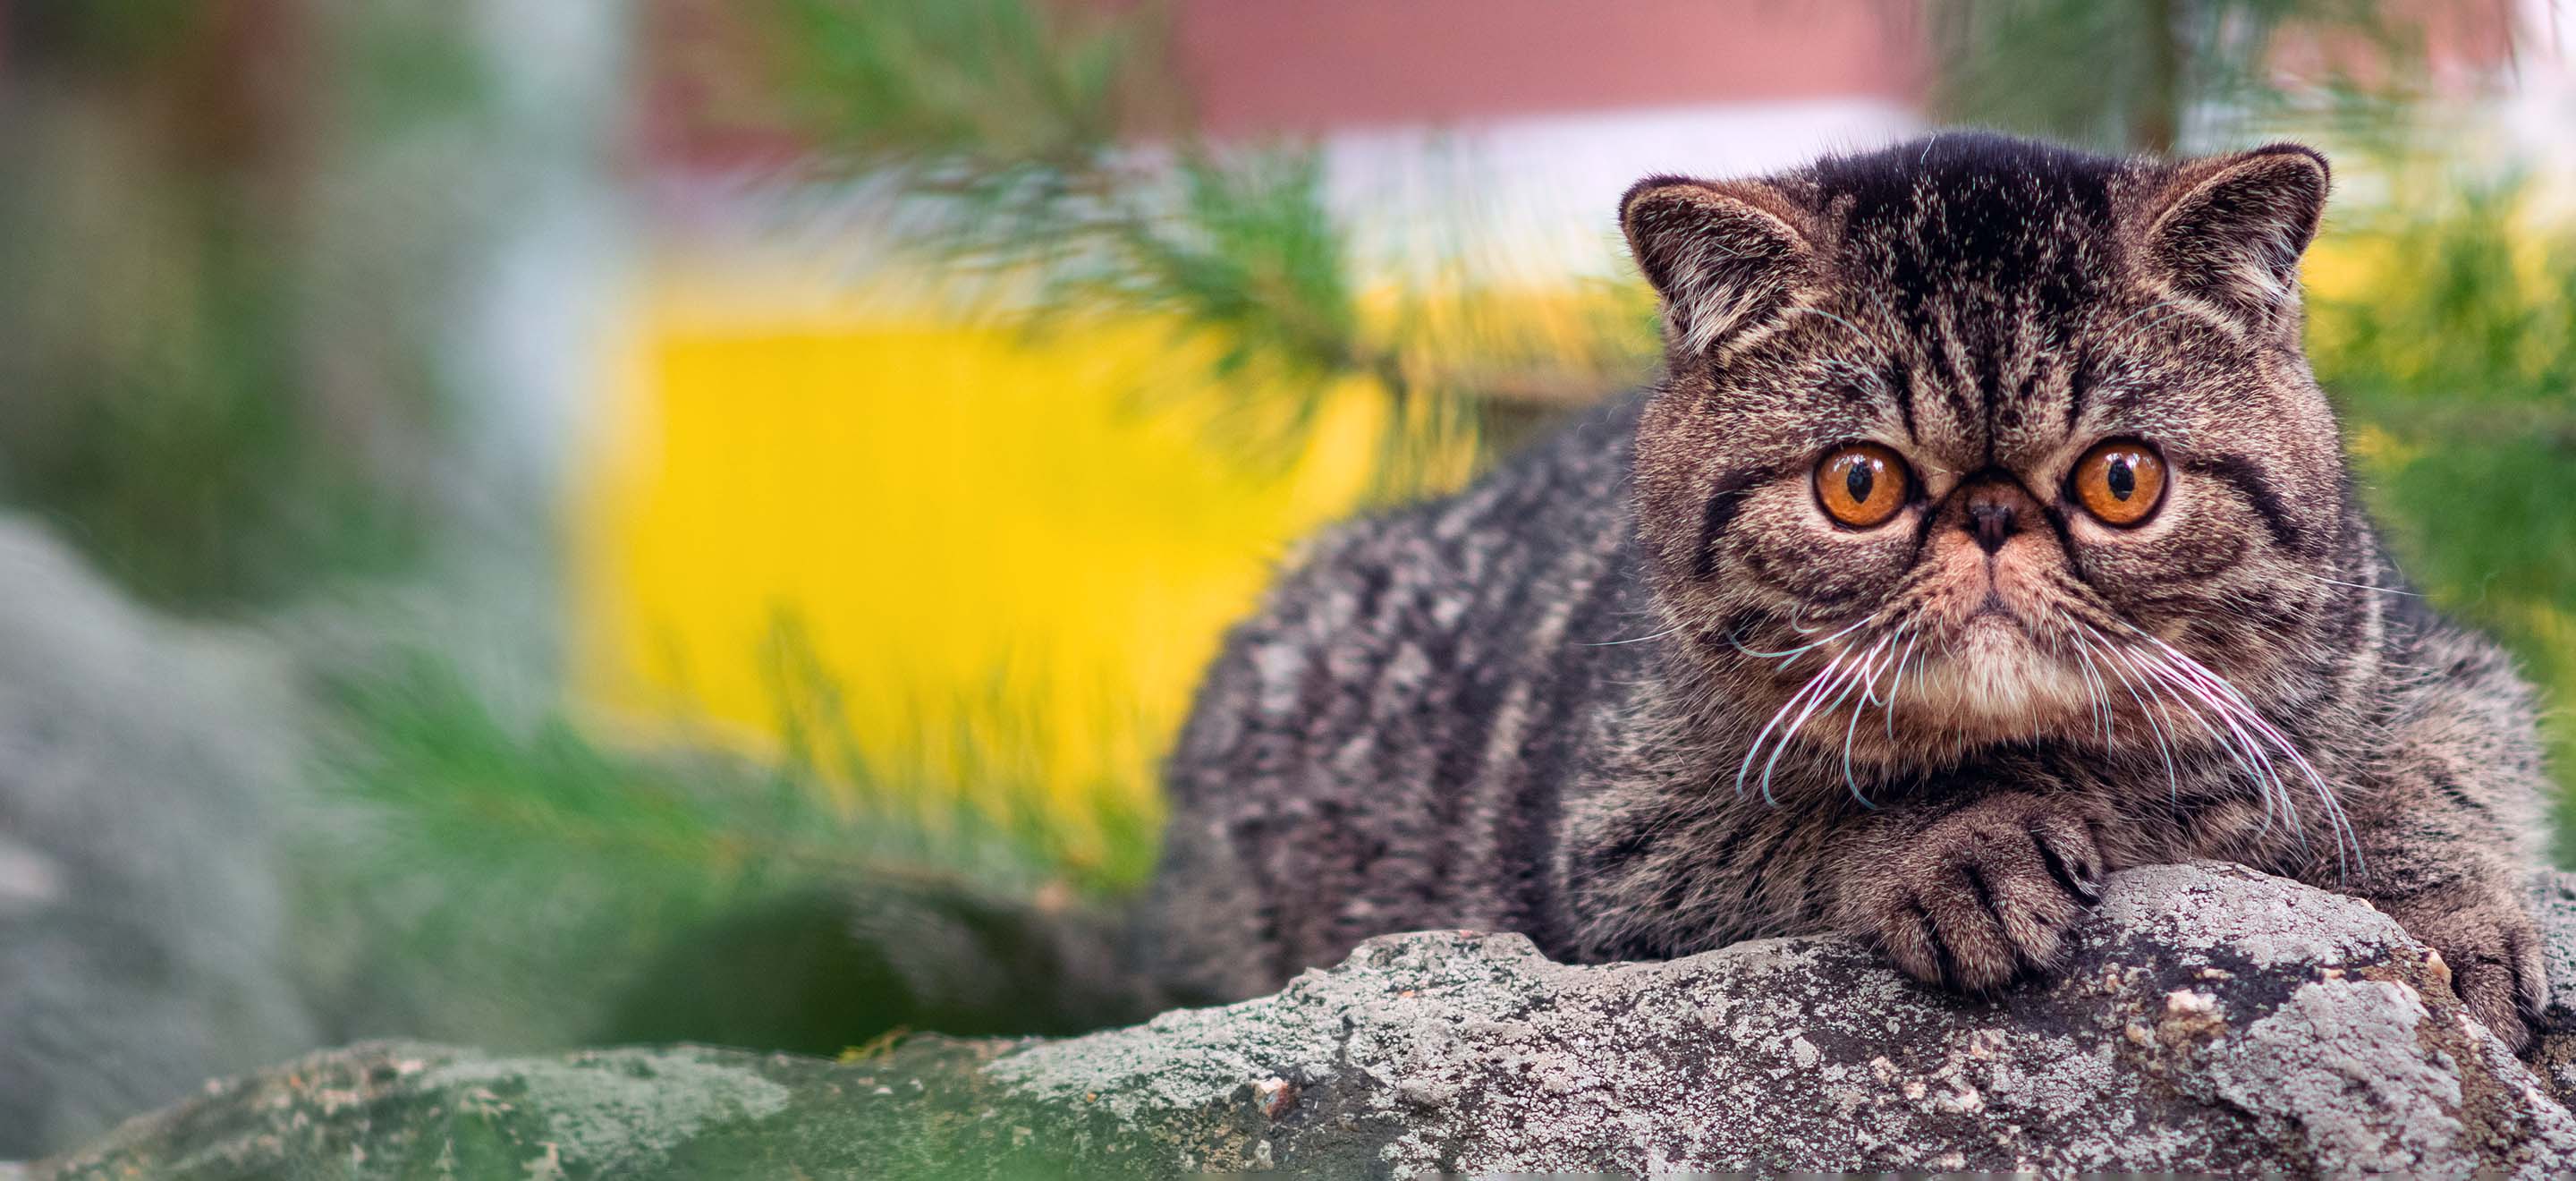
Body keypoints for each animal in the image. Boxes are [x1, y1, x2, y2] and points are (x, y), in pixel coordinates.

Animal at [1138, 131, 2545, 1051]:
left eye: (2123, 479)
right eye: (1860, 485)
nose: (1990, 515)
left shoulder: (2438, 672)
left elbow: (2437, 782)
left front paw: (2453, 930)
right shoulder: (1615, 844)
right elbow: (1813, 816)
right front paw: (1958, 845)